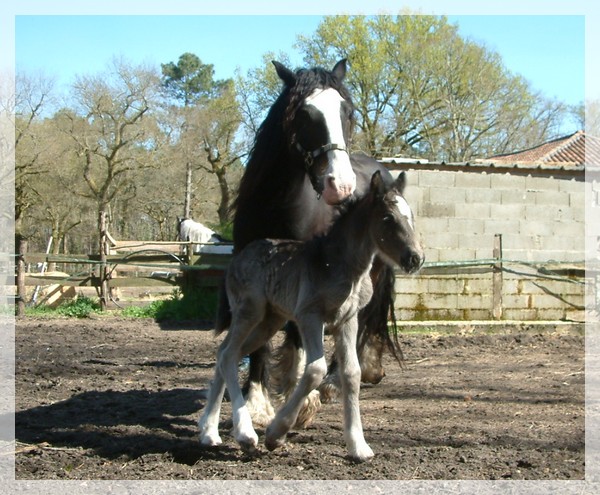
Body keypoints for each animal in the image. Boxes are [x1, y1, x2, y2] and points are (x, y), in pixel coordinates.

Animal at [200, 172, 422, 464]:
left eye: (411, 216)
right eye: (387, 218)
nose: (415, 258)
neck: (340, 266)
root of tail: (237, 258)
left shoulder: (348, 320)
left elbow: (352, 373)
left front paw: (358, 446)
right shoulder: (309, 317)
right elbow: (315, 369)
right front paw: (276, 433)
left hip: (269, 321)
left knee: (226, 352)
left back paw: (208, 432)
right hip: (249, 311)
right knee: (227, 354)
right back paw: (245, 434)